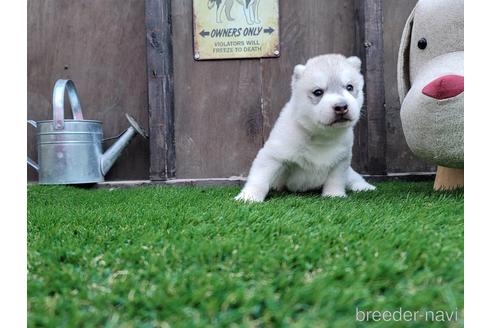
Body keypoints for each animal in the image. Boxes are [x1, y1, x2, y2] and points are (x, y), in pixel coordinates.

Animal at [236, 54, 374, 202]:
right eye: (318, 92)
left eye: (349, 87)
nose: (341, 107)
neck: (321, 136)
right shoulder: (274, 155)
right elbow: (260, 178)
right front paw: (249, 196)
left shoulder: (342, 159)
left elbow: (336, 179)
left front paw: (334, 195)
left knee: (353, 177)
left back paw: (365, 187)